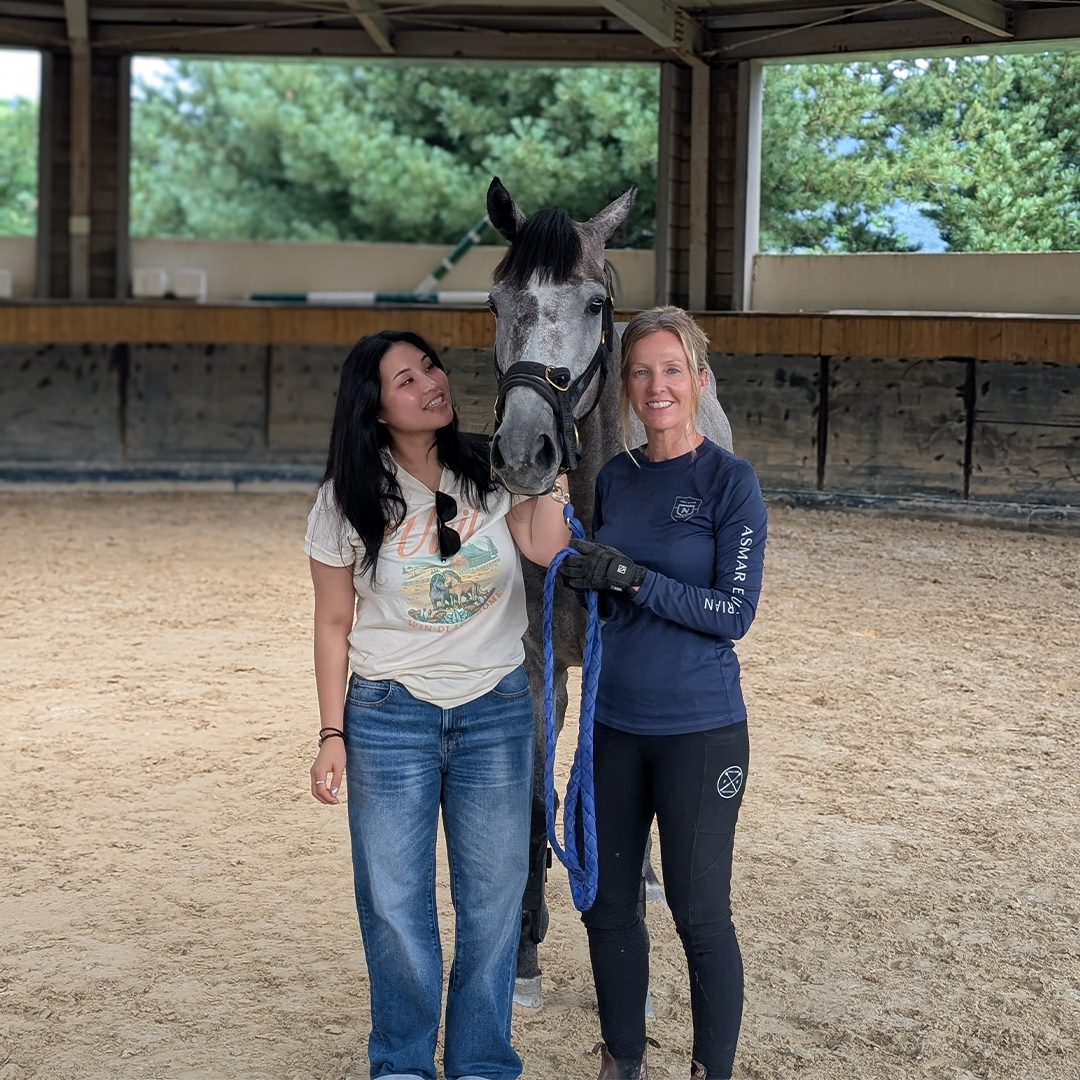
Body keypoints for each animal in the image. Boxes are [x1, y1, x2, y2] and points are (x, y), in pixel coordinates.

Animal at [484, 177, 734, 1008]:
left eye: (594, 302)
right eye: (496, 300)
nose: (524, 451)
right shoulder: (538, 666)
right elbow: (537, 800)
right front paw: (524, 957)